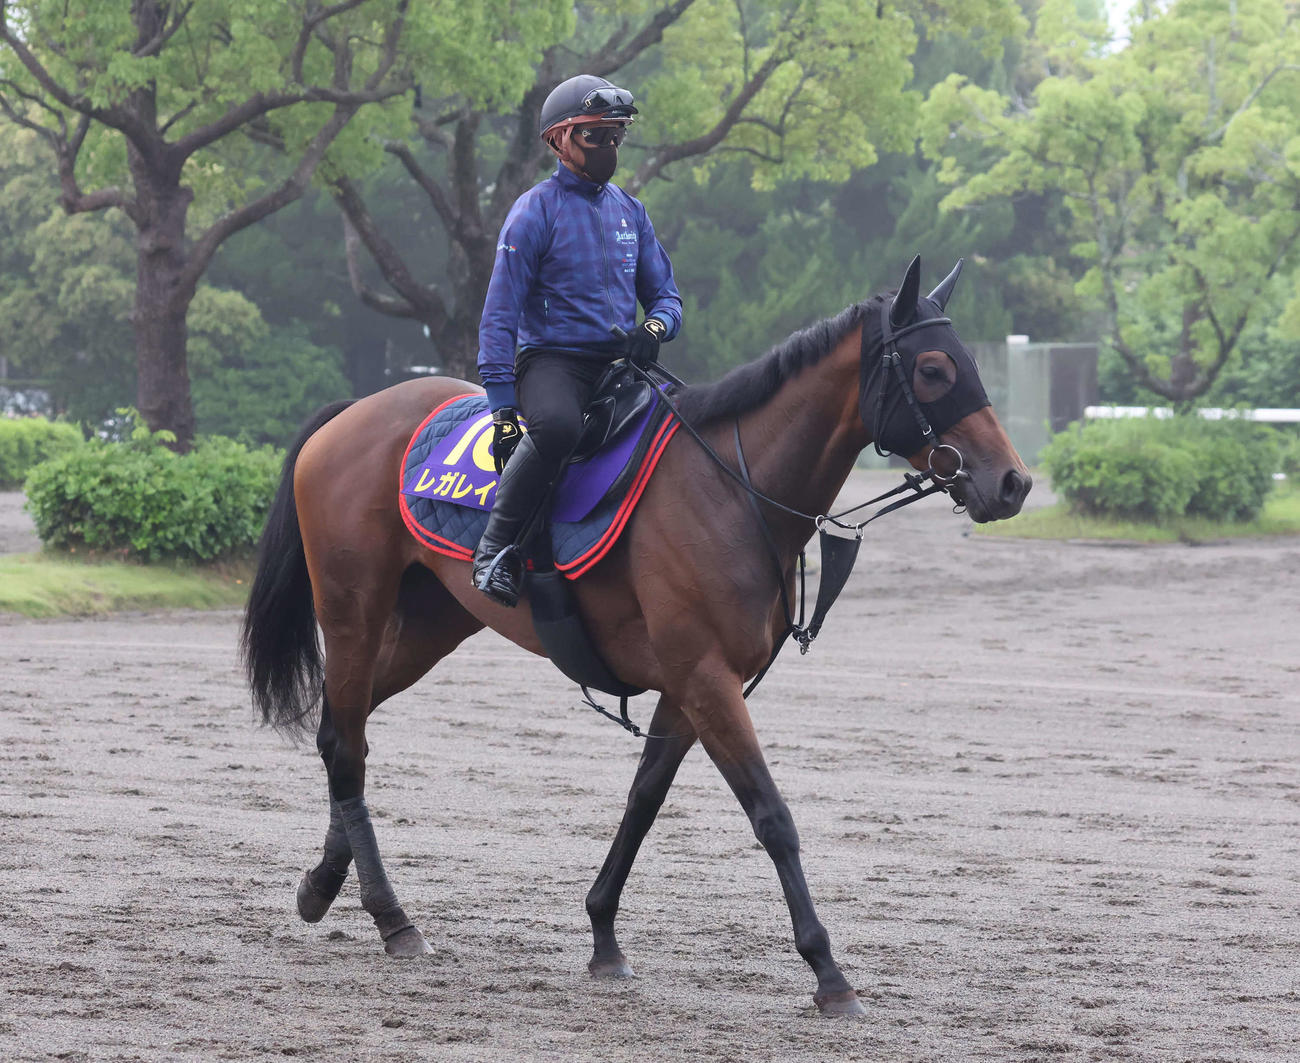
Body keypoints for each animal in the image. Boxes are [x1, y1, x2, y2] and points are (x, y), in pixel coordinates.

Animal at [241, 256, 1031, 1016]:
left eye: (970, 361)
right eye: (934, 370)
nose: (1013, 482)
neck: (730, 487)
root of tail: (354, 412)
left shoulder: (689, 687)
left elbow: (643, 802)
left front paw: (603, 936)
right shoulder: (708, 680)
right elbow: (772, 815)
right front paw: (828, 971)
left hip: (430, 625)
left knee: (342, 733)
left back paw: (324, 885)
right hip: (354, 611)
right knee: (347, 744)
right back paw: (390, 915)